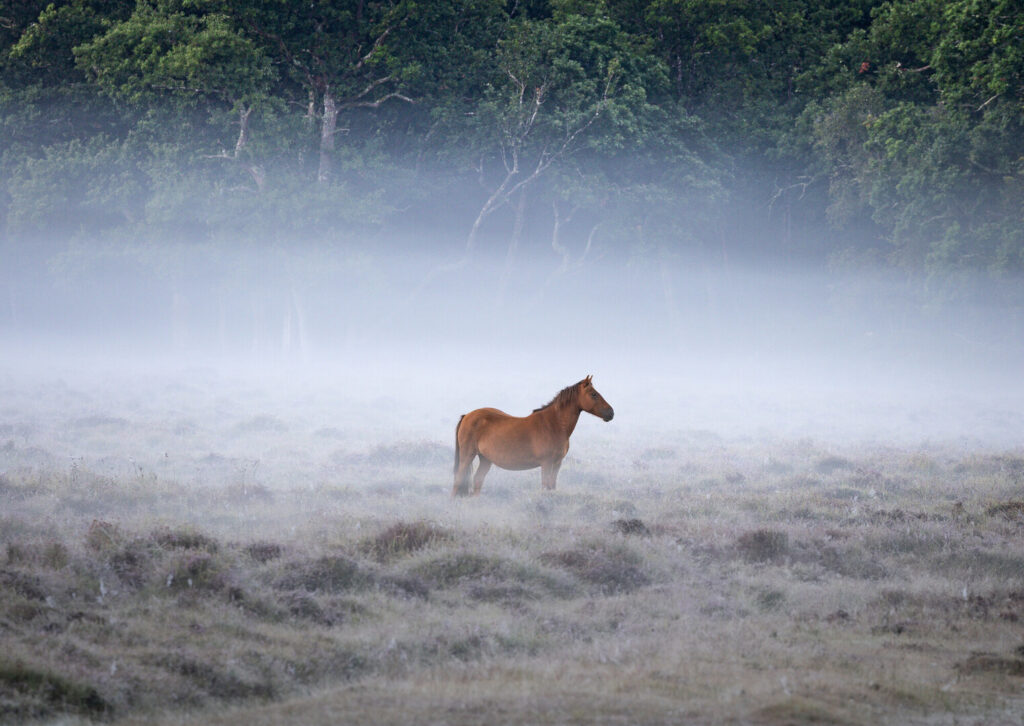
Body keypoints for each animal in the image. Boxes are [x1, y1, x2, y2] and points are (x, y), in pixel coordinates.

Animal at [453, 375, 614, 496]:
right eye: (593, 394)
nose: (611, 413)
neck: (554, 424)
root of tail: (467, 415)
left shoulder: (557, 463)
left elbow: (552, 486)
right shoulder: (546, 463)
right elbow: (545, 486)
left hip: (486, 459)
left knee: (477, 480)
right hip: (467, 456)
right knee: (458, 481)